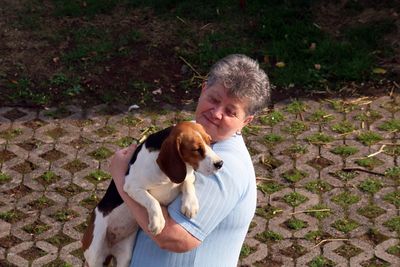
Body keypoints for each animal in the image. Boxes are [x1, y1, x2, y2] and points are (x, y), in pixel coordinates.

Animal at [79, 122, 223, 266]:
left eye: (210, 141)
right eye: (196, 149)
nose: (220, 163)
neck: (164, 174)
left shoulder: (188, 176)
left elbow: (187, 184)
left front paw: (190, 204)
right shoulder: (132, 186)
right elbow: (152, 200)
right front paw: (157, 221)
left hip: (125, 256)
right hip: (95, 251)